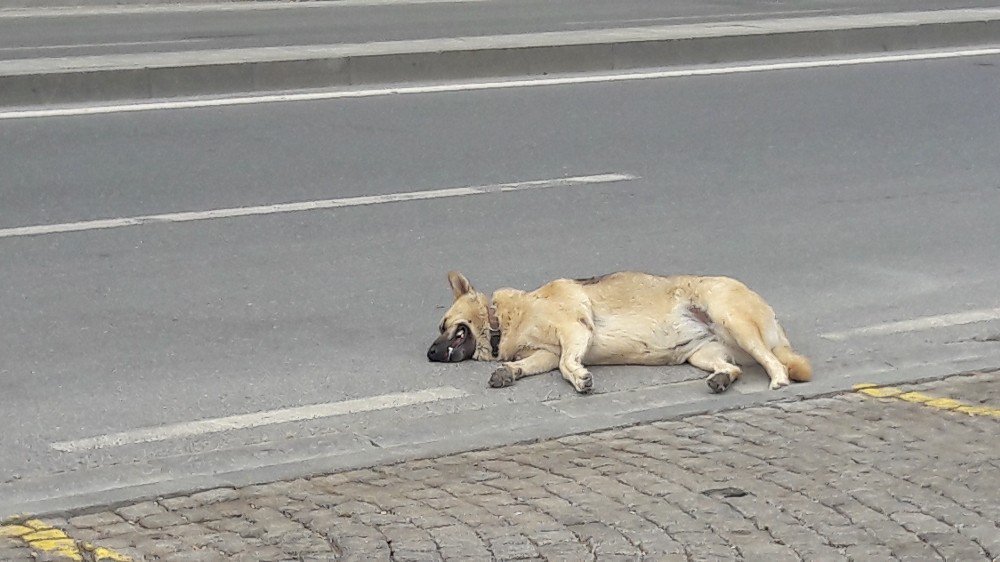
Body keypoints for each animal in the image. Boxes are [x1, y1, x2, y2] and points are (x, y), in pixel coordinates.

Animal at [428, 270, 812, 392]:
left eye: (445, 326)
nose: (430, 354)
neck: (506, 319)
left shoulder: (574, 332)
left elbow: (567, 366)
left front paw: (580, 378)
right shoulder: (546, 354)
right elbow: (533, 365)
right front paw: (508, 372)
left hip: (732, 321)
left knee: (774, 361)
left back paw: (778, 380)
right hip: (703, 353)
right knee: (732, 368)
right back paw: (721, 379)